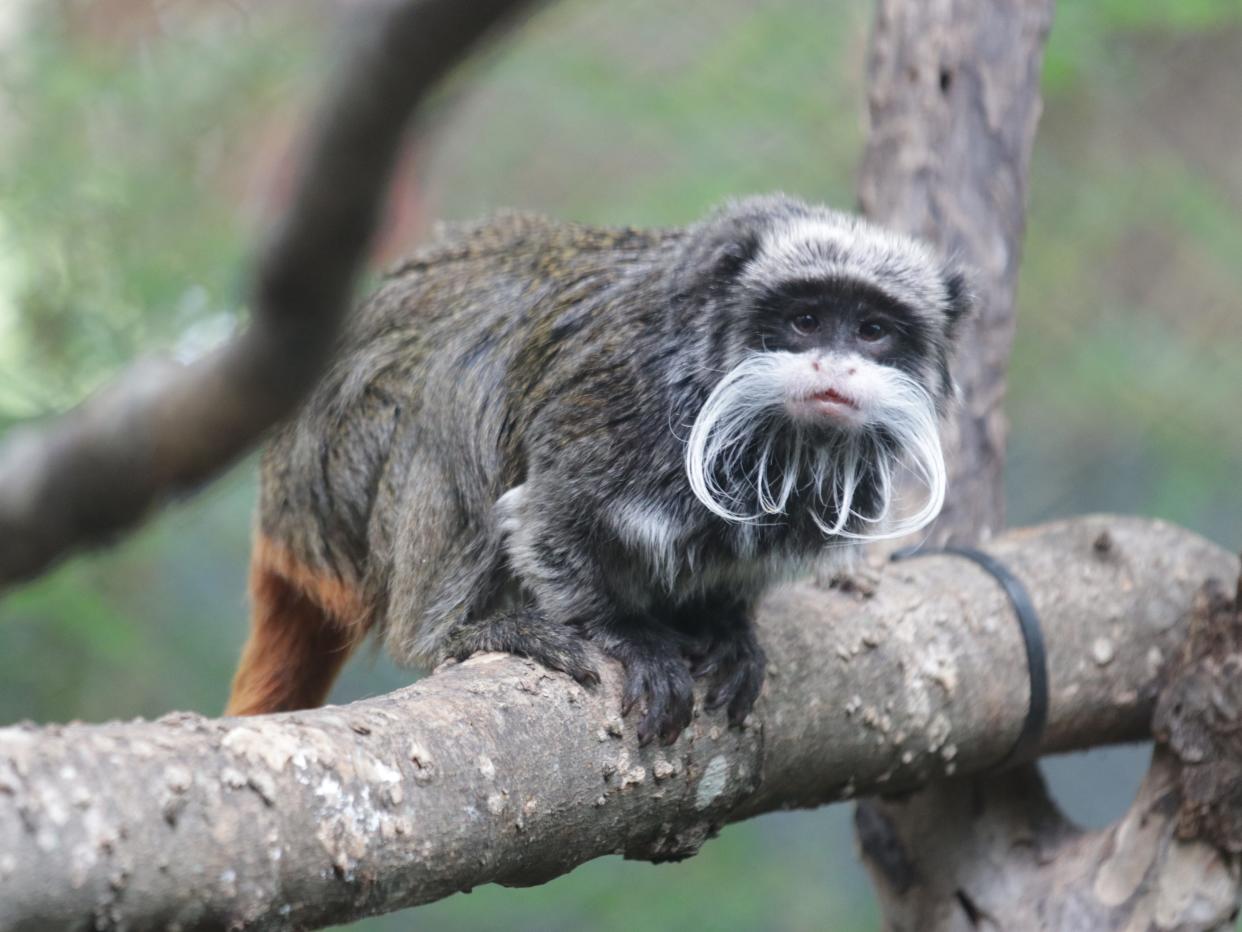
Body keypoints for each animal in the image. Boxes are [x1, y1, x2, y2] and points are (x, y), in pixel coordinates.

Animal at [228, 193, 973, 750]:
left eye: (873, 331)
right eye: (806, 319)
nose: (836, 366)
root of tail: (280, 513)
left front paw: (728, 627)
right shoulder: (615, 406)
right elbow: (545, 523)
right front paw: (629, 636)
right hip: (339, 476)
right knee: (457, 386)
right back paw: (454, 631)